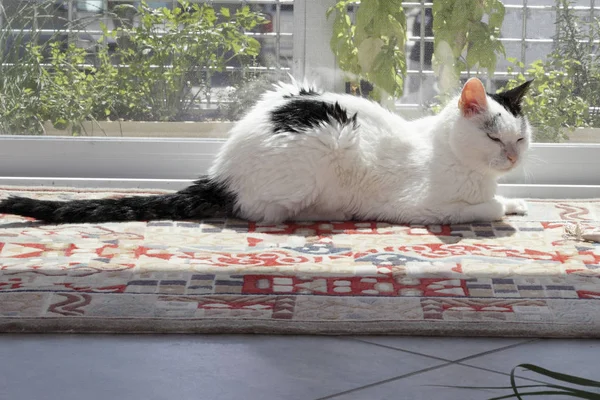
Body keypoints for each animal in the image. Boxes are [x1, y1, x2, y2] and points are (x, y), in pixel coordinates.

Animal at [1, 76, 536, 225]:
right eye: (494, 138)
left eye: (520, 138)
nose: (512, 158)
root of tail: (221, 170)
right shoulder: (424, 208)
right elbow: (481, 208)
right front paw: (499, 208)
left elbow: (499, 200)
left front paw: (515, 201)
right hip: (321, 148)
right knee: (263, 214)